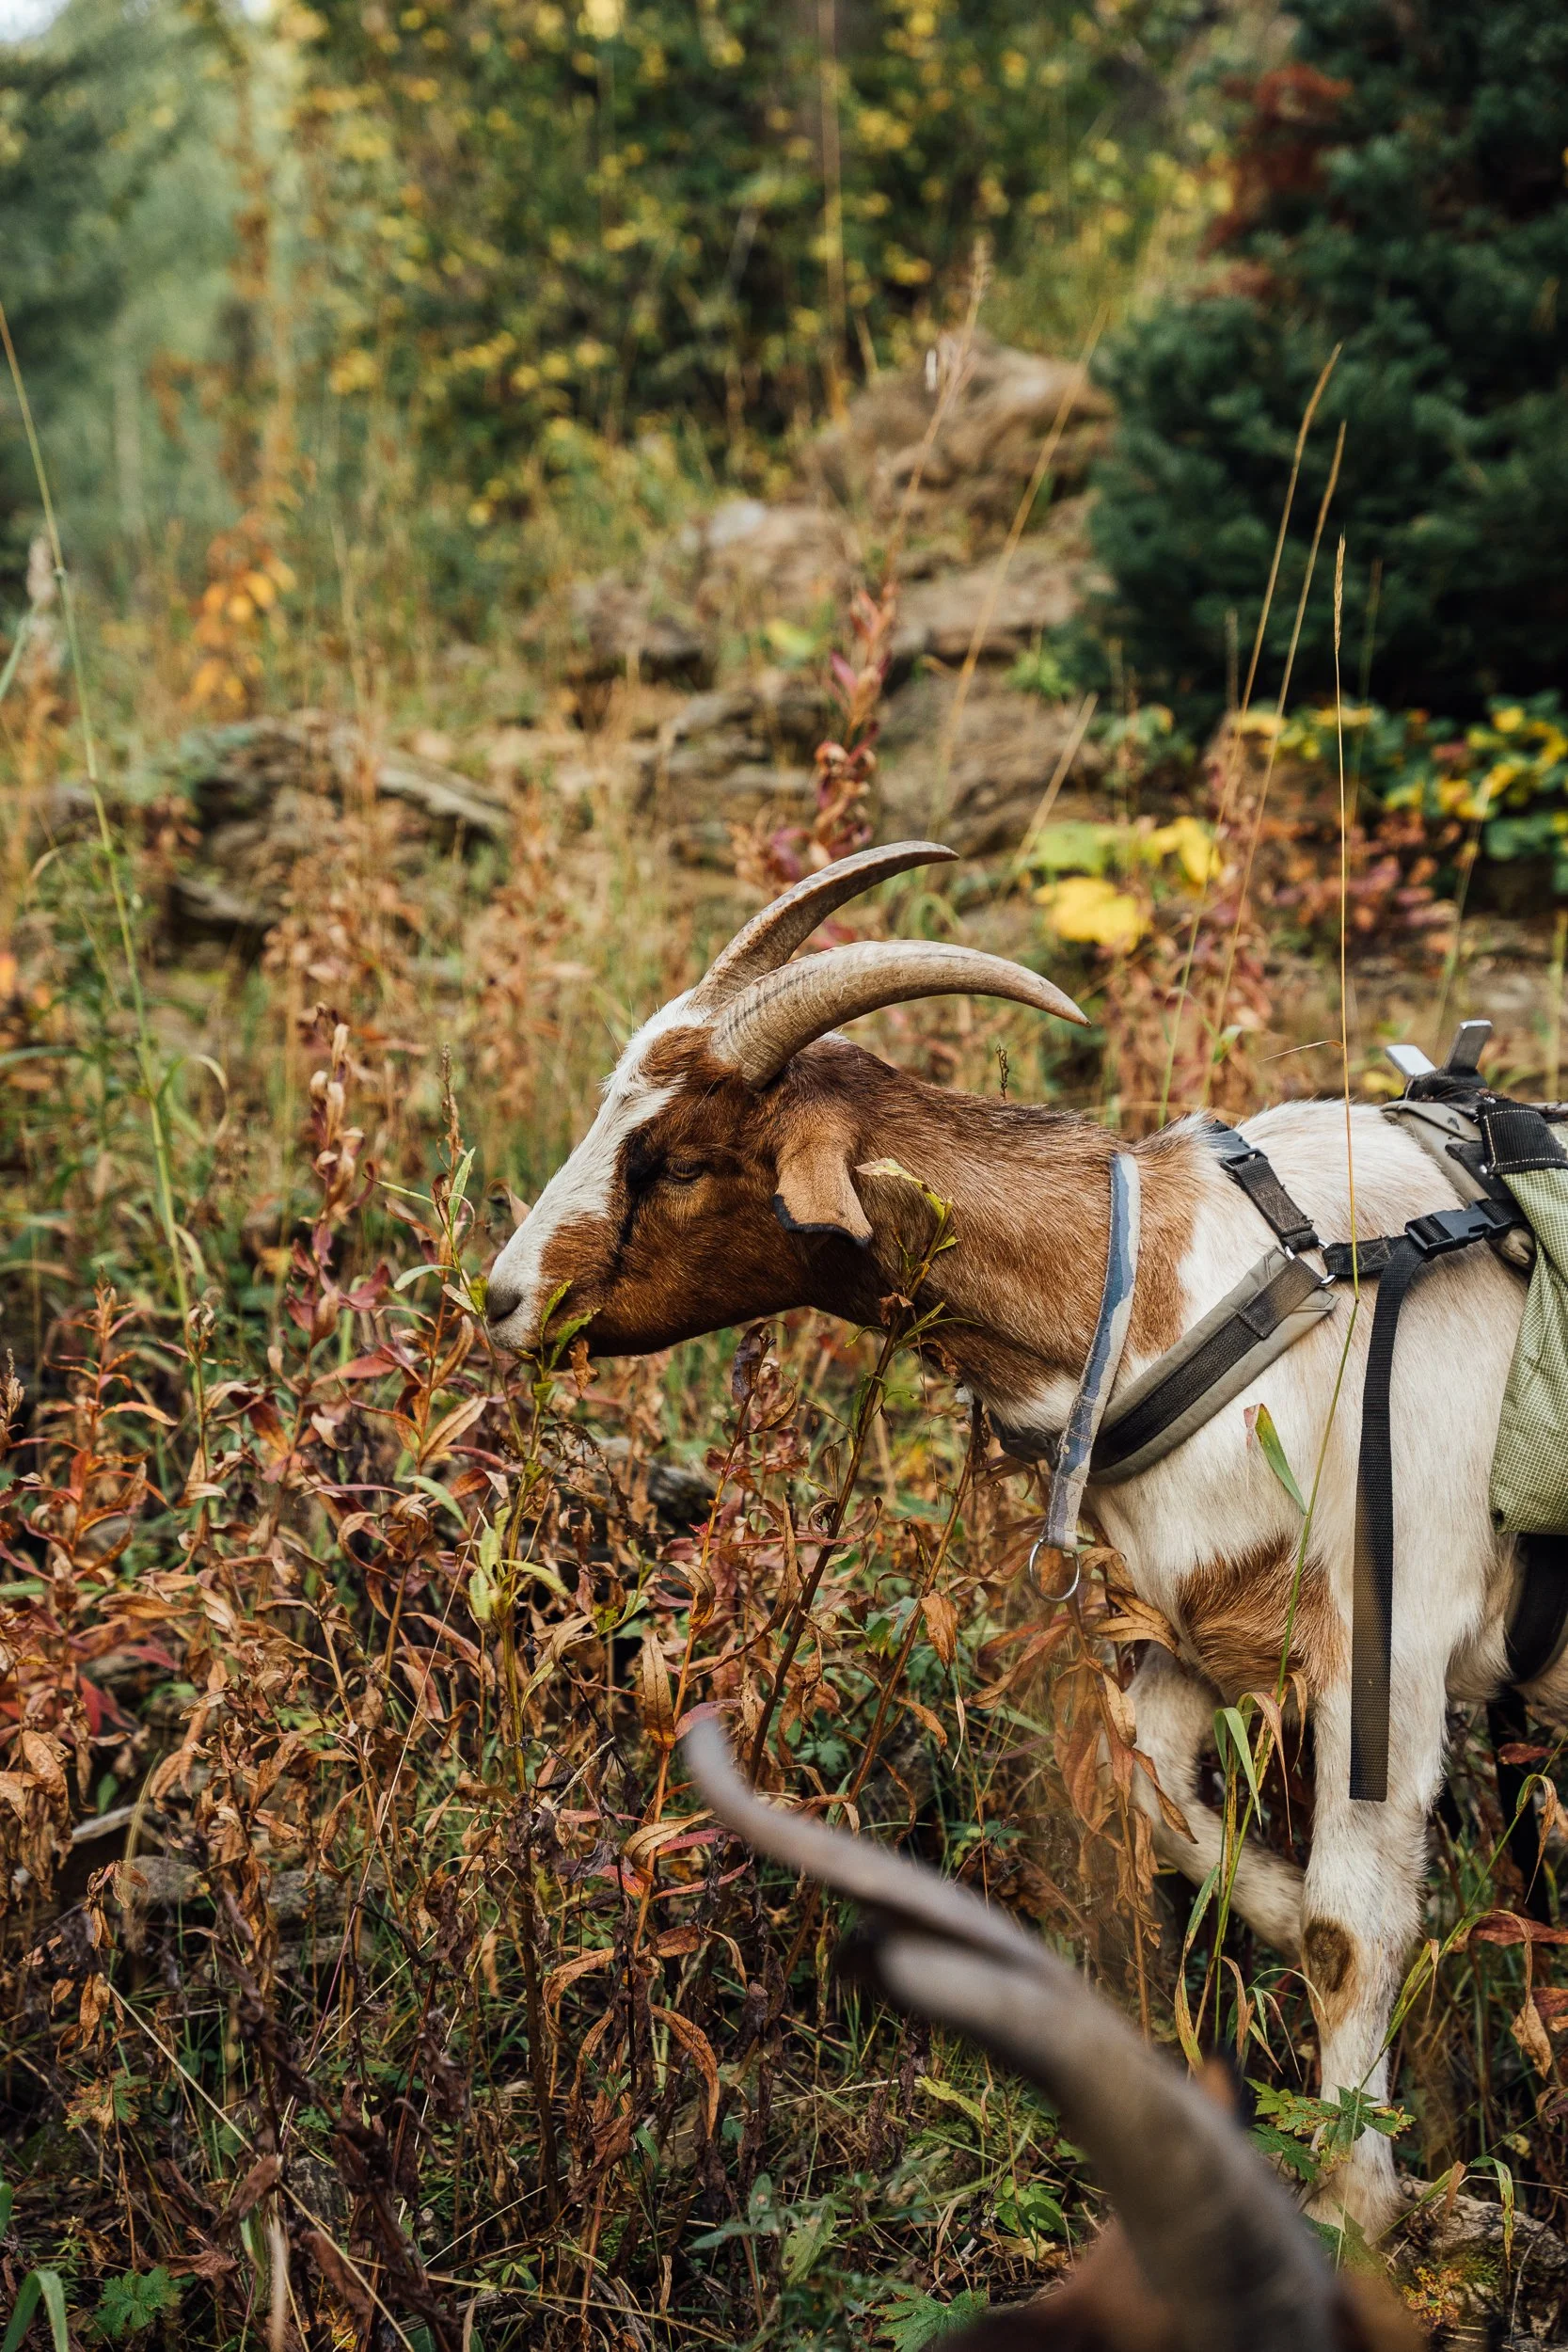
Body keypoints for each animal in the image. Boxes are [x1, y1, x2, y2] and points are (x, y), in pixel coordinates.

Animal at [484, 839, 1543, 2236]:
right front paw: (1254, 1904)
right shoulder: (1193, 1628)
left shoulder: (1389, 1644)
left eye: (673, 1158)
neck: (1172, 1287)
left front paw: (1353, 2203)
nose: (504, 1300)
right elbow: (1161, 1807)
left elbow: (1348, 1929)